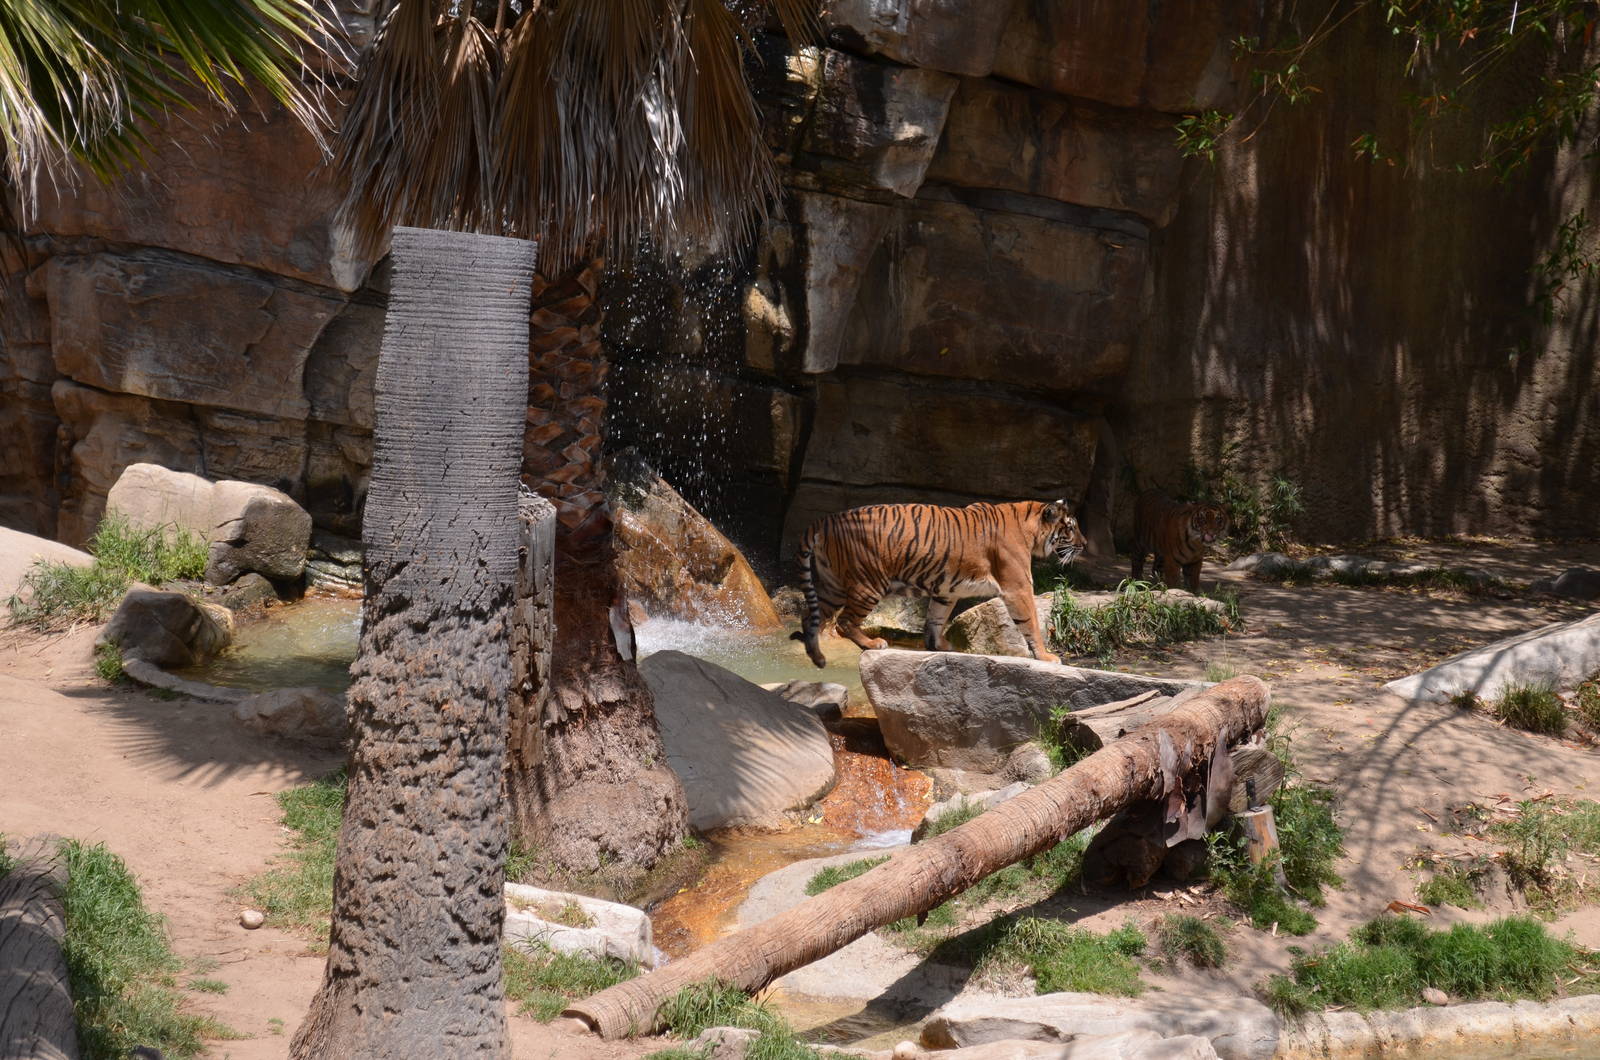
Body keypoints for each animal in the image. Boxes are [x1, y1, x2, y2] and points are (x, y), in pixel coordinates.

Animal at [789, 499, 1087, 668]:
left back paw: (816, 655)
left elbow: (936, 617)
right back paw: (873, 644)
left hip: (833, 586)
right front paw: (1046, 657)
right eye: (1070, 527)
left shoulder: (947, 589)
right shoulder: (1018, 587)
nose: (1084, 545)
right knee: (844, 622)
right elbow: (1031, 624)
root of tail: (825, 520)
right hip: (868, 583)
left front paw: (938, 646)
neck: (1030, 526)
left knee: (810, 615)